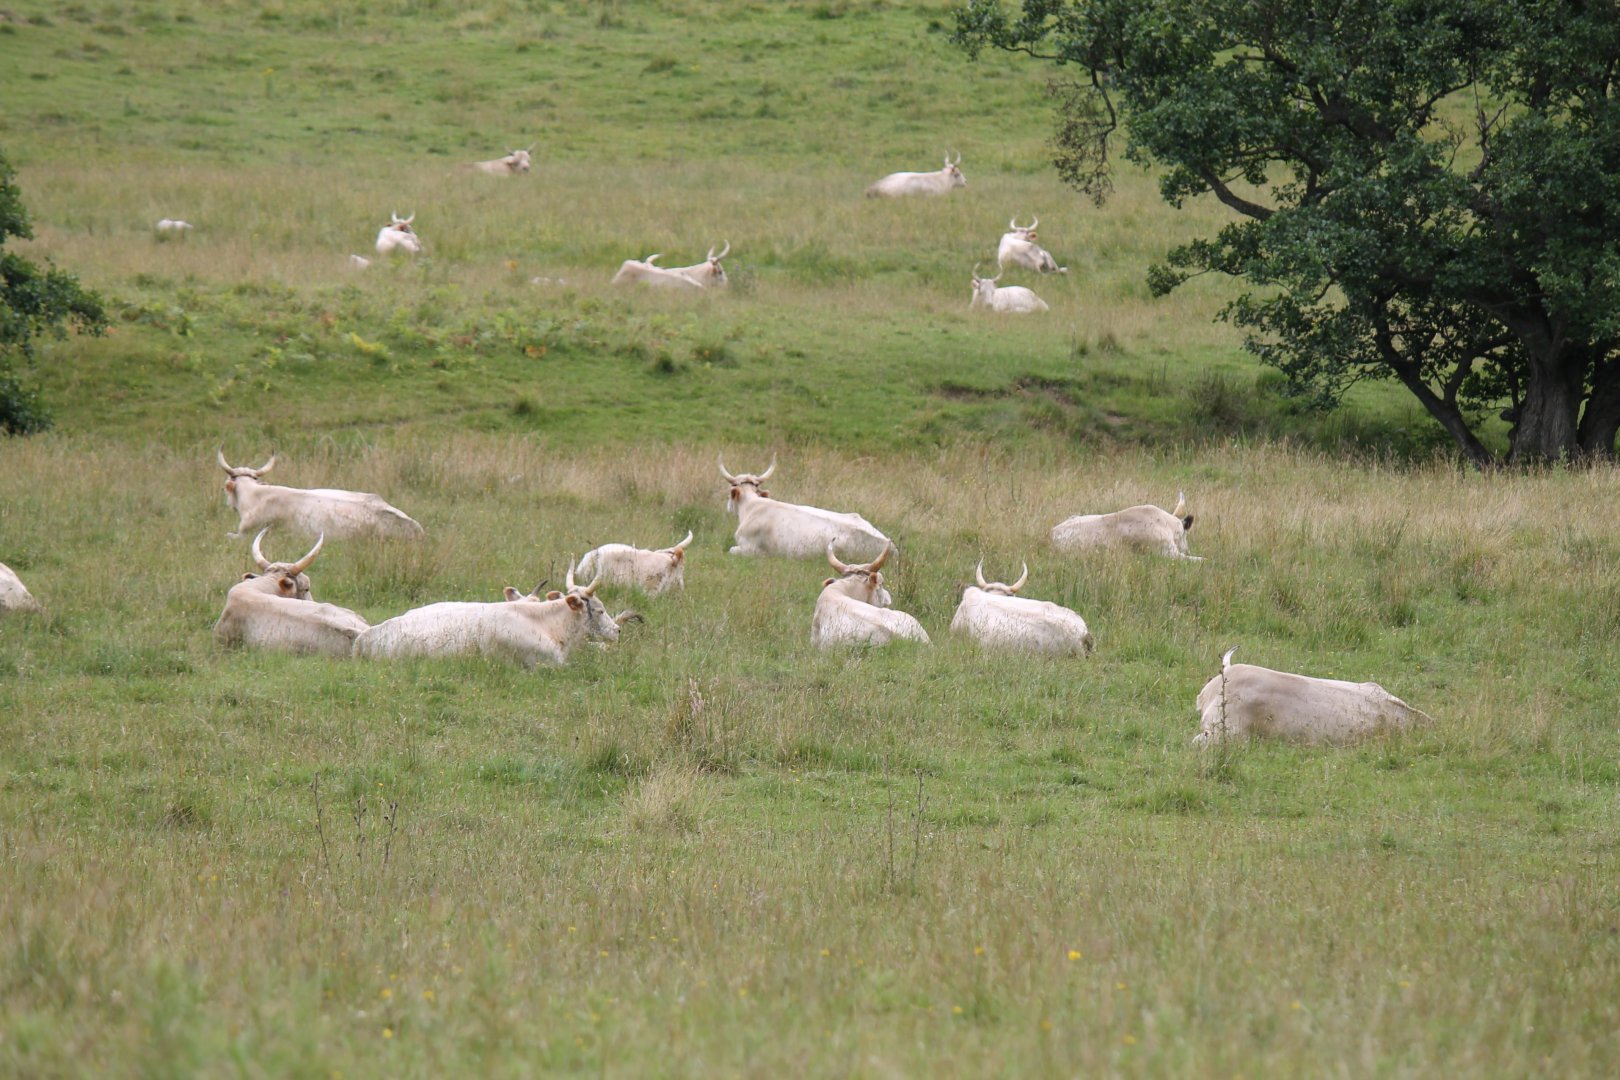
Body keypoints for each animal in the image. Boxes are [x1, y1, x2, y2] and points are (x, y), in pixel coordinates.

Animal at [719, 456, 891, 560]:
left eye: (729, 493)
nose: (727, 506)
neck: (751, 506)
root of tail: (889, 544)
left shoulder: (752, 549)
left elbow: (732, 550)